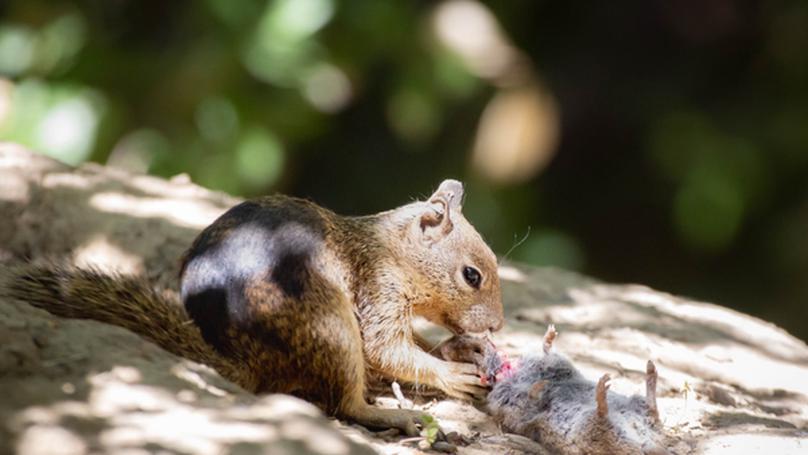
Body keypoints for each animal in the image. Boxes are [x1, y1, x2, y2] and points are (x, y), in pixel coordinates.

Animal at [3, 180, 502, 436]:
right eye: (471, 275)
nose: (498, 325)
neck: (391, 249)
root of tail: (248, 362)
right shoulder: (378, 288)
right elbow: (387, 349)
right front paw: (452, 373)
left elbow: (409, 345)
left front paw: (463, 350)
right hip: (332, 326)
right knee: (344, 404)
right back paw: (393, 415)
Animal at [438, 326, 672, 454]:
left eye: (474, 348)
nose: (445, 348)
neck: (508, 370)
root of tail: (645, 443)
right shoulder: (508, 403)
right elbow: (529, 398)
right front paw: (541, 387)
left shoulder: (554, 363)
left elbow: (548, 352)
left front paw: (550, 336)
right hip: (590, 429)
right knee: (603, 417)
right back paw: (602, 391)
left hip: (636, 406)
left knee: (652, 409)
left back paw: (650, 371)